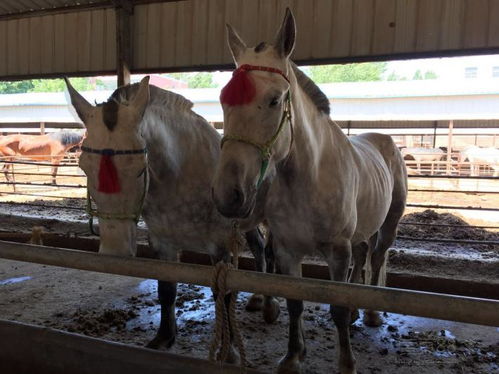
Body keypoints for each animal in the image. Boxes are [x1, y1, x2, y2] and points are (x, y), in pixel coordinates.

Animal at [64, 76, 280, 362]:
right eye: (84, 166)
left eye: (140, 169)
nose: (114, 252)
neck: (180, 172)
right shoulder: (163, 241)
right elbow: (166, 289)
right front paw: (164, 337)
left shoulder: (219, 245)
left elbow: (223, 294)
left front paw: (229, 351)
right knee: (258, 248)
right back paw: (256, 298)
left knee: (270, 252)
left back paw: (269, 304)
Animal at [213, 8, 408, 374]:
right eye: (222, 100)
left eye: (274, 100)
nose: (227, 195)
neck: (307, 180)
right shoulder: (288, 250)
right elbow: (295, 302)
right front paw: (292, 356)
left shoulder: (337, 252)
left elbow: (338, 307)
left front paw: (346, 363)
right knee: (364, 255)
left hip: (389, 224)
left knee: (376, 259)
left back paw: (372, 313)